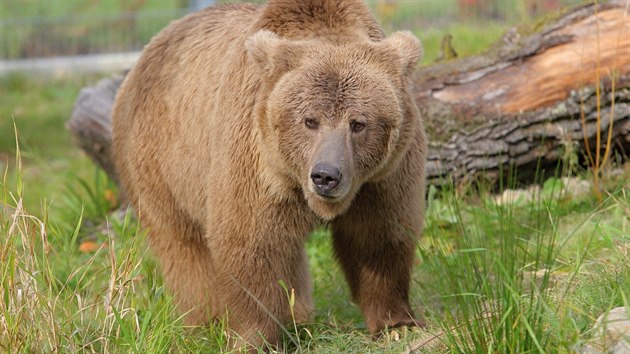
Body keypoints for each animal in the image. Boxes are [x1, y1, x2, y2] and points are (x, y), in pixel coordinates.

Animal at [113, 0, 430, 348]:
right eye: (310, 120)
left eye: (358, 123)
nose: (325, 175)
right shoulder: (256, 163)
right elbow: (251, 245)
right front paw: (254, 338)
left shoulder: (383, 178)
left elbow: (378, 238)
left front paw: (397, 324)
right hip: (158, 163)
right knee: (183, 248)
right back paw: (208, 321)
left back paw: (299, 317)